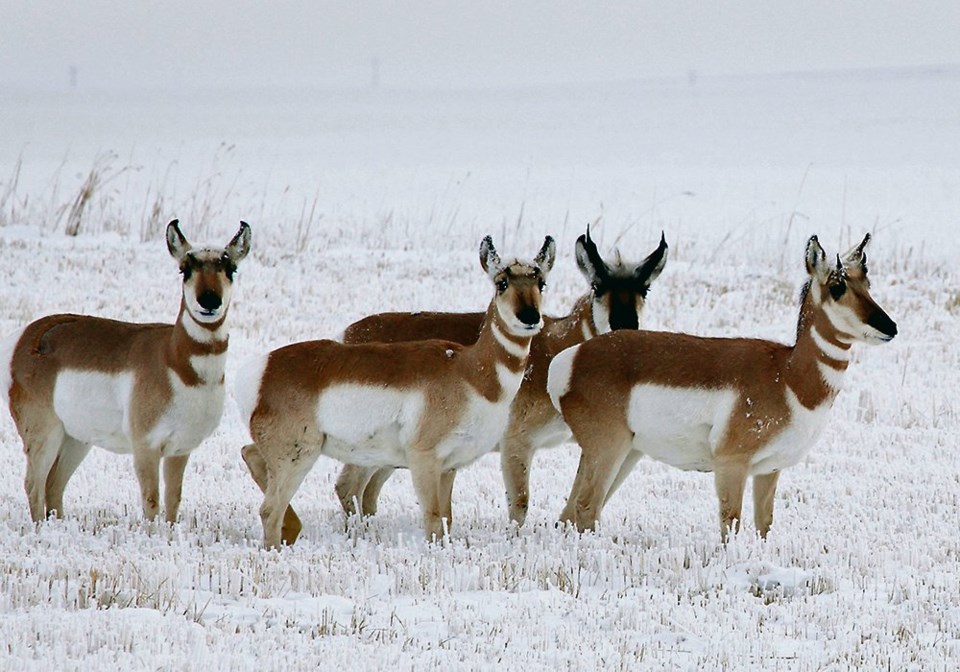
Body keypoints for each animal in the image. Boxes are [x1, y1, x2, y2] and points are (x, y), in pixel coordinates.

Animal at [0, 220, 251, 524]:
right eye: (184, 268)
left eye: (231, 268)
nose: (210, 301)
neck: (176, 363)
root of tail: (23, 337)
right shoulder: (146, 448)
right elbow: (151, 502)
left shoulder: (180, 450)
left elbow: (173, 501)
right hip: (44, 433)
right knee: (33, 484)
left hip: (75, 439)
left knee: (53, 485)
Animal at [235, 235, 560, 544]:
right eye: (501, 282)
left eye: (541, 282)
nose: (531, 318)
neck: (471, 372)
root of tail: (262, 369)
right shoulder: (424, 459)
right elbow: (432, 519)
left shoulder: (449, 466)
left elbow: (446, 519)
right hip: (299, 456)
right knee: (270, 510)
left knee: (252, 458)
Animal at [330, 228, 668, 528]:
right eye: (598, 287)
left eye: (645, 289)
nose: (625, 326)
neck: (557, 346)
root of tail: (349, 334)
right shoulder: (517, 442)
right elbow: (521, 503)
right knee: (348, 485)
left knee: (367, 491)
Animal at [548, 235, 900, 540]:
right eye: (837, 286)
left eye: (867, 283)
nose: (891, 327)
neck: (787, 376)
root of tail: (570, 359)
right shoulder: (732, 465)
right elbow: (730, 525)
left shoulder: (769, 470)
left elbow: (764, 526)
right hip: (609, 449)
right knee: (586, 509)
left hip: (623, 453)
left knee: (568, 514)